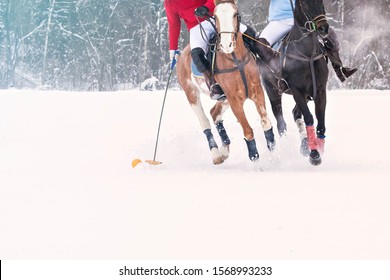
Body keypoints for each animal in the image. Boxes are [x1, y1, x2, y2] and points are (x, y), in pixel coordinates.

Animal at [177, 0, 274, 164]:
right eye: (215, 16)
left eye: (235, 14)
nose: (226, 45)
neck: (235, 59)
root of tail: (180, 55)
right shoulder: (234, 99)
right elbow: (248, 131)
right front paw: (255, 157)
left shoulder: (257, 92)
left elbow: (266, 122)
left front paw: (274, 151)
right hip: (192, 94)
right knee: (205, 121)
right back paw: (216, 154)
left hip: (224, 99)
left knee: (214, 113)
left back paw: (224, 149)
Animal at [260, 0, 330, 165]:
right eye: (304, 4)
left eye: (322, 1)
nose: (323, 27)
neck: (308, 54)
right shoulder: (297, 90)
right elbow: (309, 118)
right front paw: (314, 155)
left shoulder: (320, 90)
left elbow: (321, 121)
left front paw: (319, 148)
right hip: (272, 91)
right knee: (281, 122)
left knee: (295, 113)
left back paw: (304, 145)